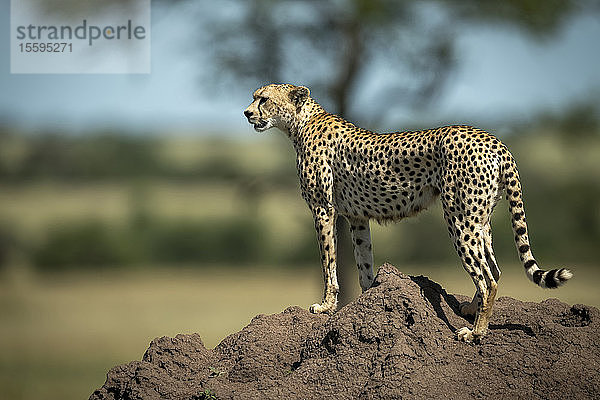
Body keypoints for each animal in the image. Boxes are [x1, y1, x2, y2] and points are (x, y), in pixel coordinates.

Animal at [243, 83, 572, 342]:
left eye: (264, 99)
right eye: (254, 97)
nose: (247, 113)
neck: (300, 122)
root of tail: (493, 140)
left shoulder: (323, 209)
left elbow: (328, 261)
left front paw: (325, 306)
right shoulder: (357, 218)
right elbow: (363, 263)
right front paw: (366, 301)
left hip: (459, 218)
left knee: (487, 276)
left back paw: (476, 332)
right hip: (481, 219)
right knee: (494, 267)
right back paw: (472, 310)